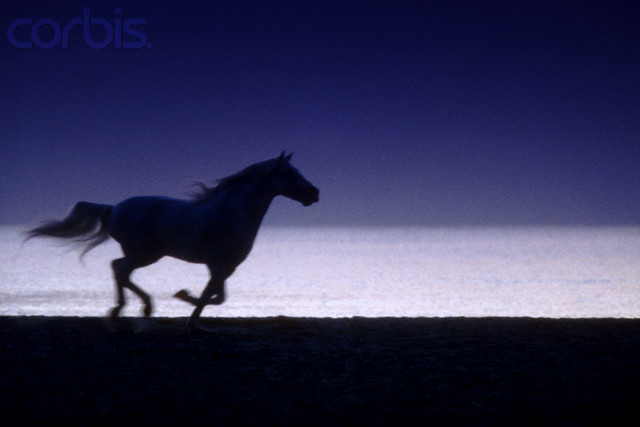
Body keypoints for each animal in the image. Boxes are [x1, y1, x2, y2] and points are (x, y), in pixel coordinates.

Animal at [25, 152, 319, 332]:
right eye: (289, 174)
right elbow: (215, 297)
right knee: (120, 269)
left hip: (146, 254)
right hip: (144, 254)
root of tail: (114, 208)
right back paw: (134, 311)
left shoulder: (225, 267)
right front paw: (183, 297)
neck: (232, 212)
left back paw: (126, 313)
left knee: (118, 267)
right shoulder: (218, 264)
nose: (314, 194)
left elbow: (213, 295)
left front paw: (196, 325)